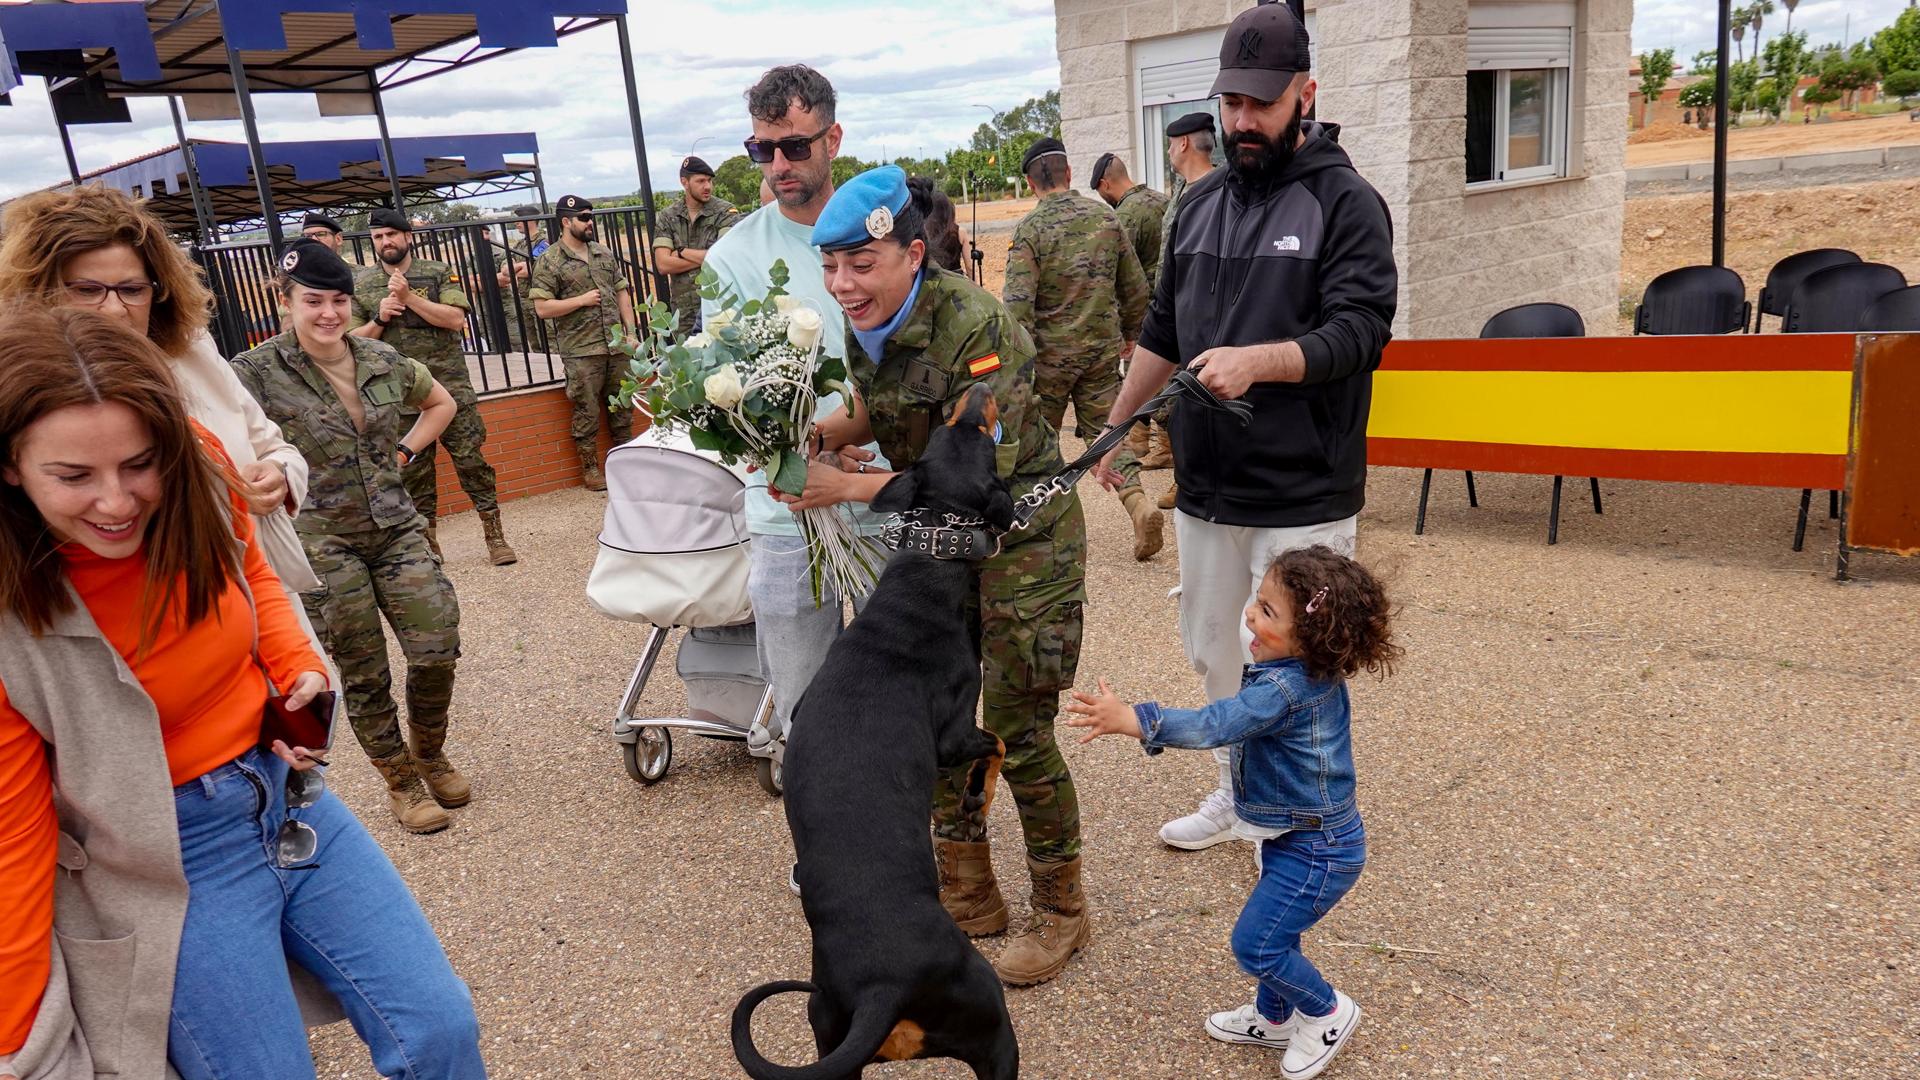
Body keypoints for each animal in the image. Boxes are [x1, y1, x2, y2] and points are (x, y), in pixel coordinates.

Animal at [729, 384, 1021, 1076]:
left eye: (951, 425)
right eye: (977, 433)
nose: (979, 389)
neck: (920, 579)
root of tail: (879, 988)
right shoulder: (953, 731)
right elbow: (995, 745)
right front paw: (979, 798)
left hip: (830, 1032)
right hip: (995, 1029)